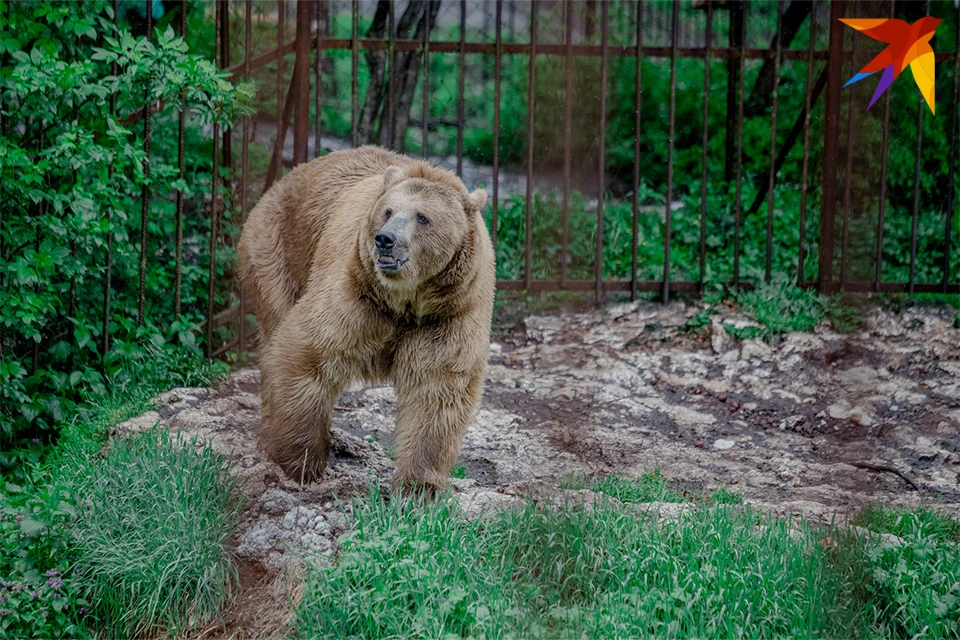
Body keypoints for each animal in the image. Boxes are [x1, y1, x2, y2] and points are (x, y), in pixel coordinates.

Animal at [236, 146, 496, 496]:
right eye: (387, 211)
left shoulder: (448, 314)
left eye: (422, 217)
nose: (385, 239)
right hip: (277, 254)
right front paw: (301, 463)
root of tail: (281, 182)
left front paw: (419, 487)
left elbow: (437, 390)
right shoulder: (358, 292)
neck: (406, 300)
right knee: (274, 335)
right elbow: (306, 352)